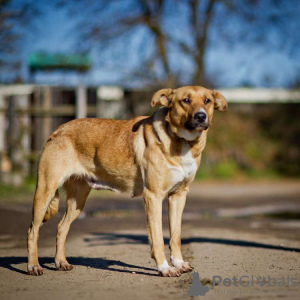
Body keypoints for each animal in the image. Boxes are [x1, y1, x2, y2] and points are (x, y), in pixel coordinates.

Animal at [27, 86, 227, 276]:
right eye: (185, 100)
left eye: (207, 100)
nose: (201, 116)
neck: (182, 141)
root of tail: (58, 130)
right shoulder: (153, 197)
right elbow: (157, 238)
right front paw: (165, 268)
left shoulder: (178, 196)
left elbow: (175, 236)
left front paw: (178, 263)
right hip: (44, 191)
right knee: (33, 230)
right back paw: (33, 266)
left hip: (78, 200)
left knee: (61, 228)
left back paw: (61, 262)